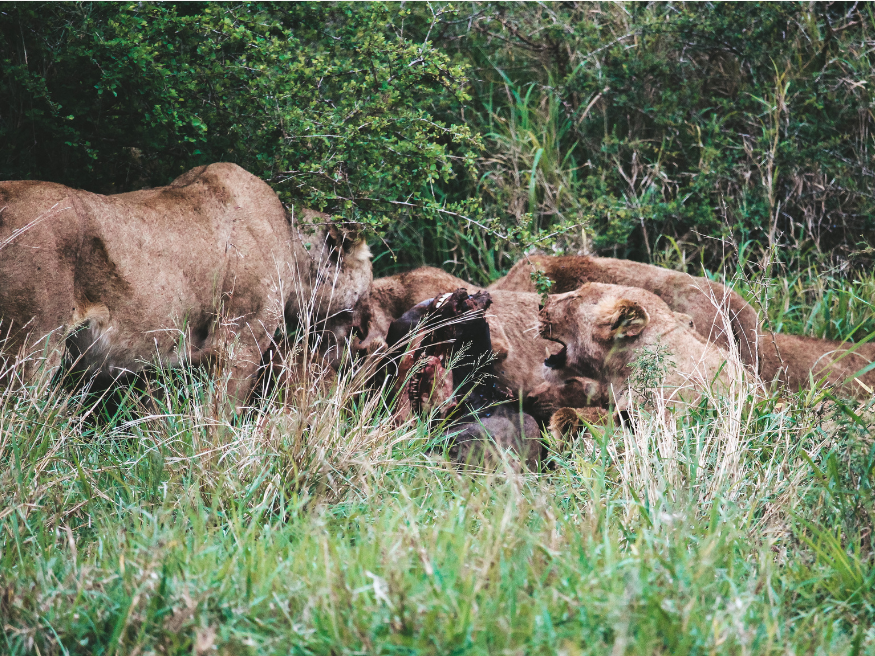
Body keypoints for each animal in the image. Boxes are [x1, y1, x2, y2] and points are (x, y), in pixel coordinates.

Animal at [0, 163, 372, 408]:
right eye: (368, 283)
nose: (363, 337)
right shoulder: (239, 344)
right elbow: (219, 417)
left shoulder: (159, 359)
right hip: (31, 344)